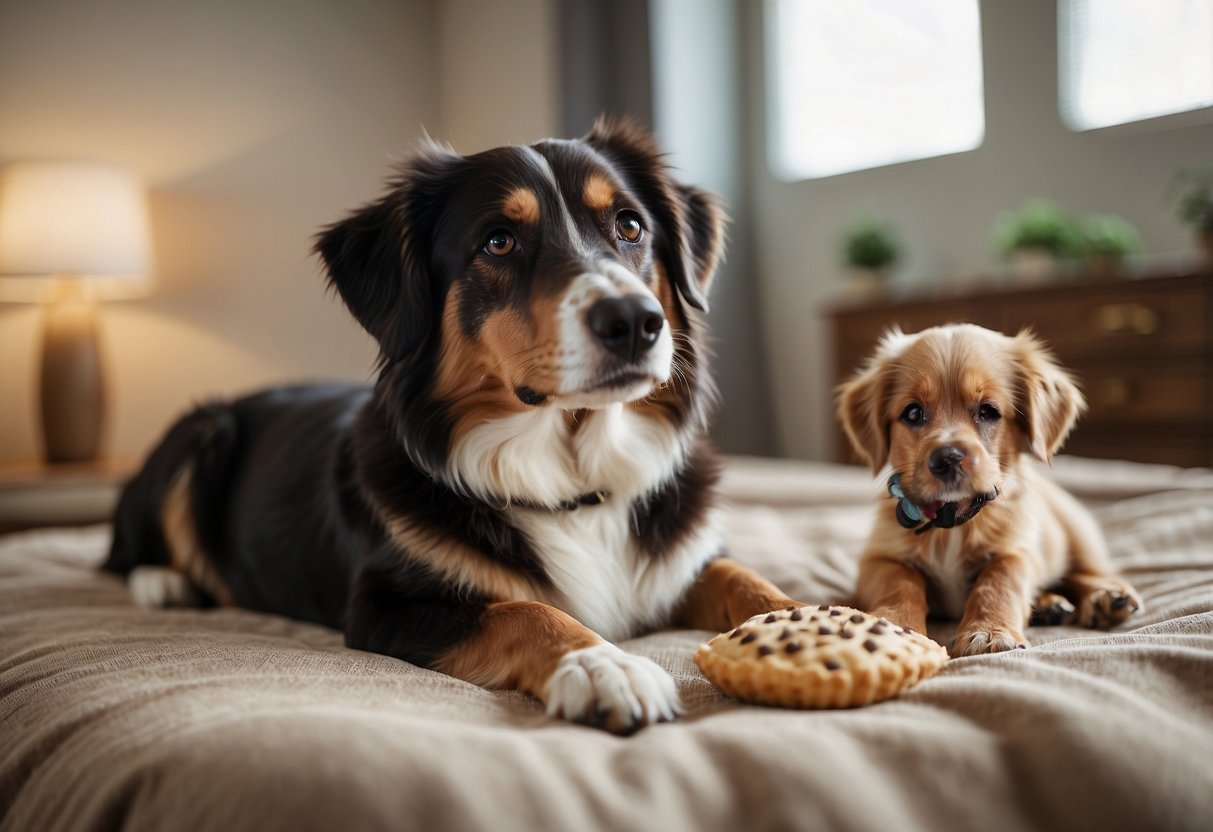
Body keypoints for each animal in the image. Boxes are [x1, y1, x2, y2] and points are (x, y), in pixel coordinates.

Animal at [106, 120, 805, 732]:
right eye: (498, 241)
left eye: (630, 225)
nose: (635, 322)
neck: (573, 477)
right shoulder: (383, 607)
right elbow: (525, 610)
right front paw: (602, 665)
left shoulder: (687, 561)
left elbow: (750, 581)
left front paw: (813, 620)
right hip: (204, 430)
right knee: (123, 553)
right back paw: (163, 580)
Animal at [839, 322, 1140, 654]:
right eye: (913, 413)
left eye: (988, 411)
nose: (947, 459)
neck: (952, 525)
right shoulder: (878, 557)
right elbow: (900, 581)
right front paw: (893, 626)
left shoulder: (1017, 547)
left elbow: (1000, 578)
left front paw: (989, 632)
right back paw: (1051, 605)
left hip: (1079, 532)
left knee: (1087, 571)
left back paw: (1105, 596)